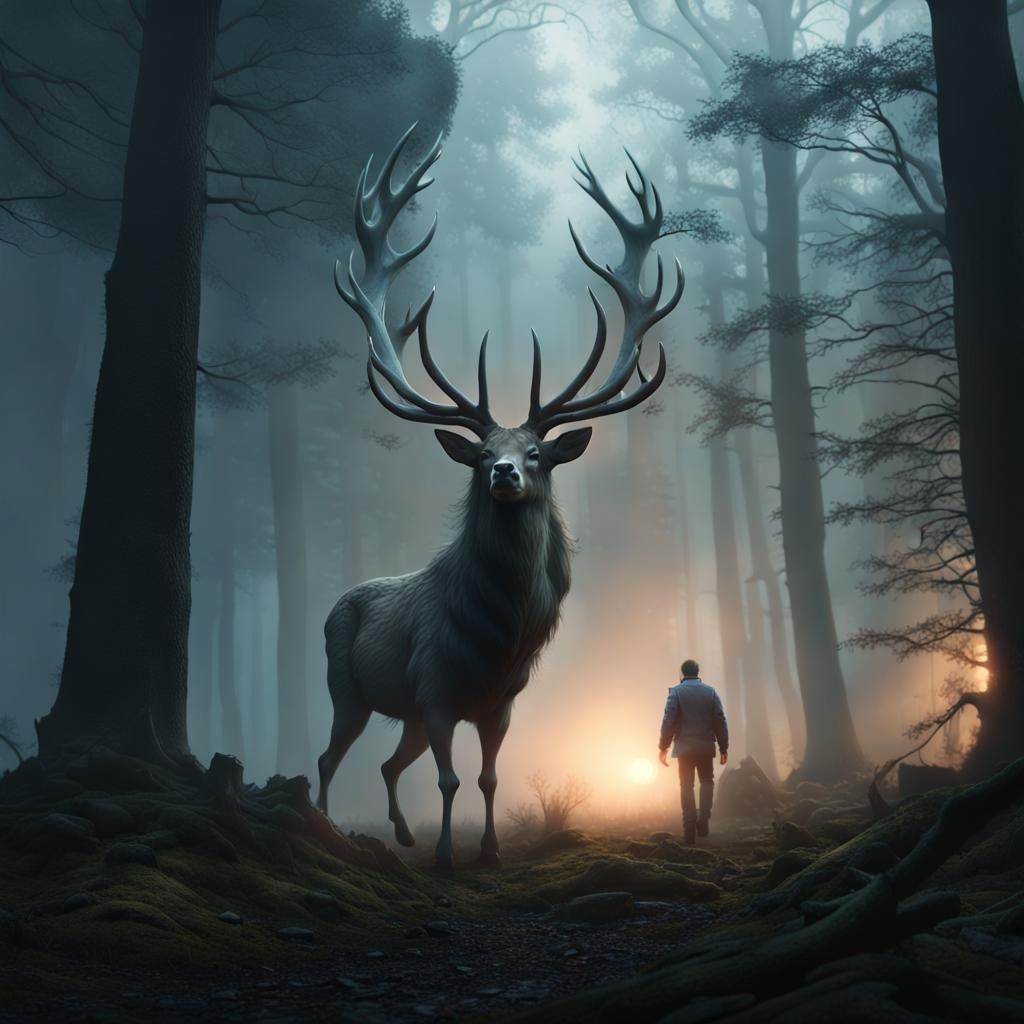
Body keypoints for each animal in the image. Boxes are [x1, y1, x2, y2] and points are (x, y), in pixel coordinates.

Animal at [317, 125, 684, 868]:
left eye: (537, 453)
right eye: (484, 454)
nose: (504, 475)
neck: (493, 637)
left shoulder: (500, 702)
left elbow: (486, 777)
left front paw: (486, 850)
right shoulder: (433, 689)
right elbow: (450, 779)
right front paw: (445, 855)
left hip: (399, 712)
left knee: (386, 764)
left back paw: (399, 831)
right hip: (348, 686)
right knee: (329, 757)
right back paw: (324, 825)